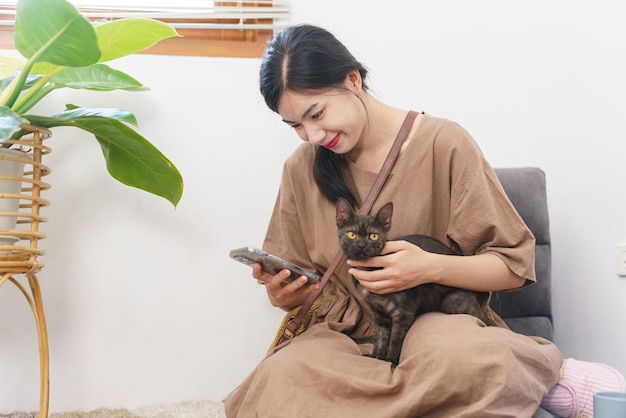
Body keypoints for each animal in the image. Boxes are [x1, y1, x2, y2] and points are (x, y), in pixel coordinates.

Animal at [336, 198, 492, 364]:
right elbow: (380, 337)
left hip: (453, 300)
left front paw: (391, 360)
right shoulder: (378, 313)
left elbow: (395, 340)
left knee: (481, 319)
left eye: (373, 236)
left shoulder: (404, 312)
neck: (368, 269)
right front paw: (376, 356)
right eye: (352, 234)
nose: (361, 245)